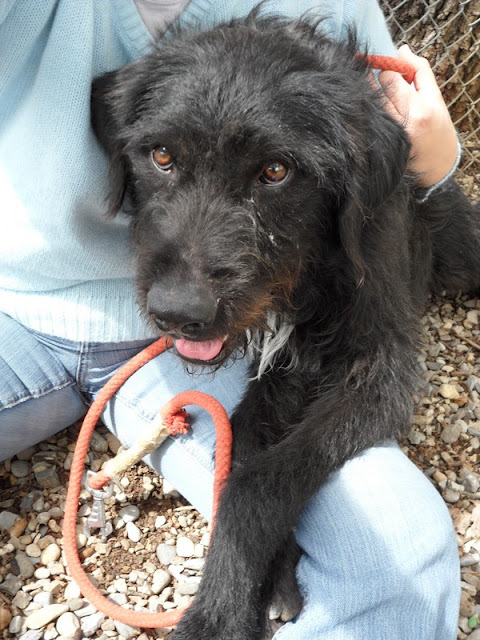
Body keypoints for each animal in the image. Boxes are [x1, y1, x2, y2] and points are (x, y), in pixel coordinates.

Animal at [91, 10, 480, 640]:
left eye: (276, 170)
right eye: (162, 156)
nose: (178, 312)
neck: (313, 277)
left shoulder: (381, 369)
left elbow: (260, 479)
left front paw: (216, 614)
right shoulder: (276, 368)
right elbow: (240, 448)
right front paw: (268, 576)